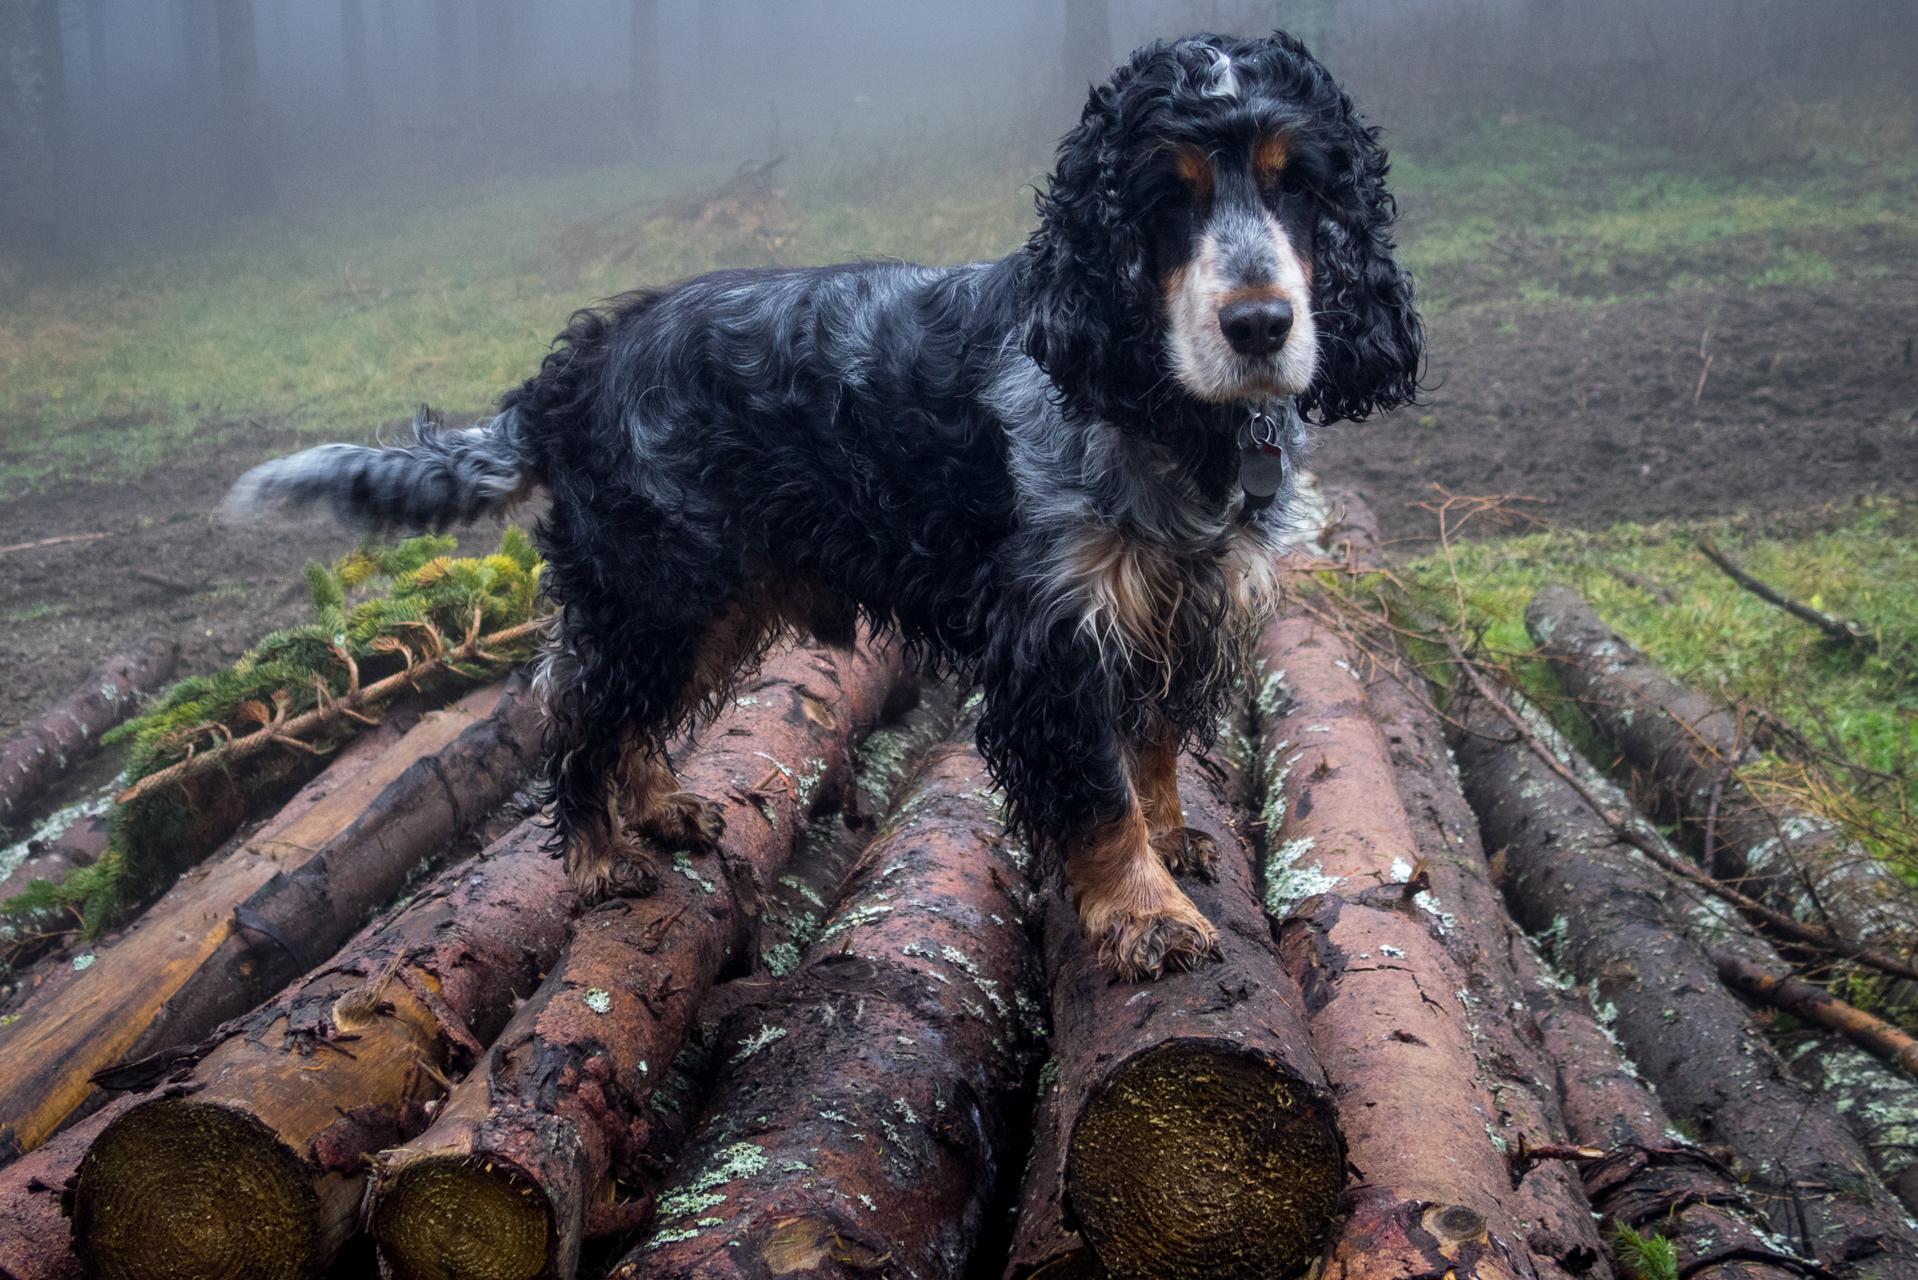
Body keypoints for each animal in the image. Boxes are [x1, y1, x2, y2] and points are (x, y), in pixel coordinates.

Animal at [228, 35, 1426, 990]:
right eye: (1163, 198)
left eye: (1300, 186)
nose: (1261, 324)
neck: (1164, 412)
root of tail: (574, 368)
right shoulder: (1052, 635)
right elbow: (1097, 793)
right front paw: (1144, 917)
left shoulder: (1175, 602)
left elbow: (1156, 747)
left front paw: (1172, 843)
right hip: (656, 590)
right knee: (575, 712)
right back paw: (600, 854)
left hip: (708, 602)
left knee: (618, 711)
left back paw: (657, 804)